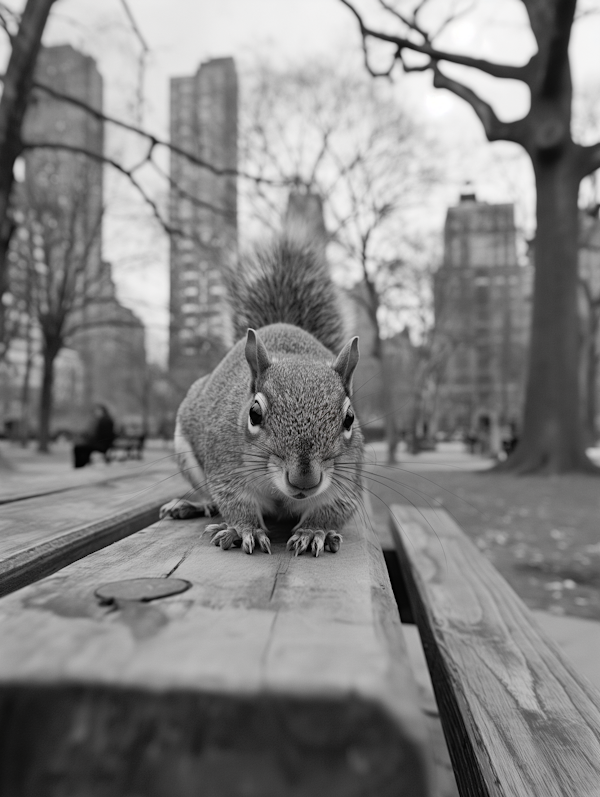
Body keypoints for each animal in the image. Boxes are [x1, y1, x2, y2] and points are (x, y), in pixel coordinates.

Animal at [159, 227, 364, 556]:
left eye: (349, 419)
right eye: (254, 413)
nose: (304, 480)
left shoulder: (346, 478)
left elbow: (332, 507)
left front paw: (314, 531)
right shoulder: (227, 466)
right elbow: (235, 501)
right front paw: (245, 529)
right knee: (208, 496)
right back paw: (192, 505)